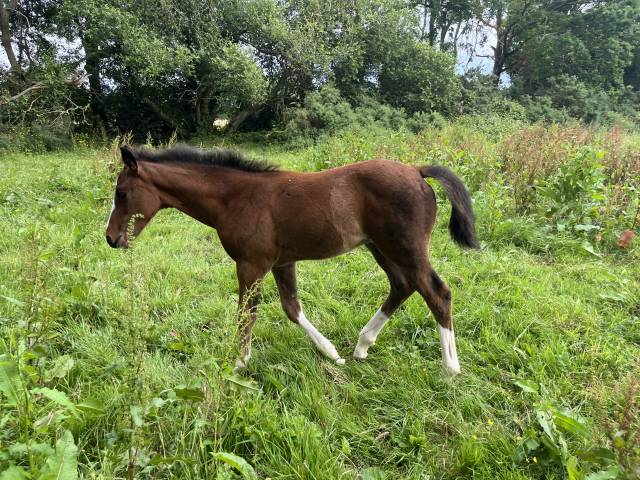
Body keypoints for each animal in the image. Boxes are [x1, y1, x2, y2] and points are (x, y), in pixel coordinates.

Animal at [106, 144, 479, 375]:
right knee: (402, 286)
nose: (110, 238)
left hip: (406, 248)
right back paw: (361, 347)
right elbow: (292, 308)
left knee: (437, 292)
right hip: (380, 247)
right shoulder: (281, 262)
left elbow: (246, 313)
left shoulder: (250, 264)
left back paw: (450, 368)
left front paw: (239, 364)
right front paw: (331, 353)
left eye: (121, 193)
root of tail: (418, 171)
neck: (235, 198)